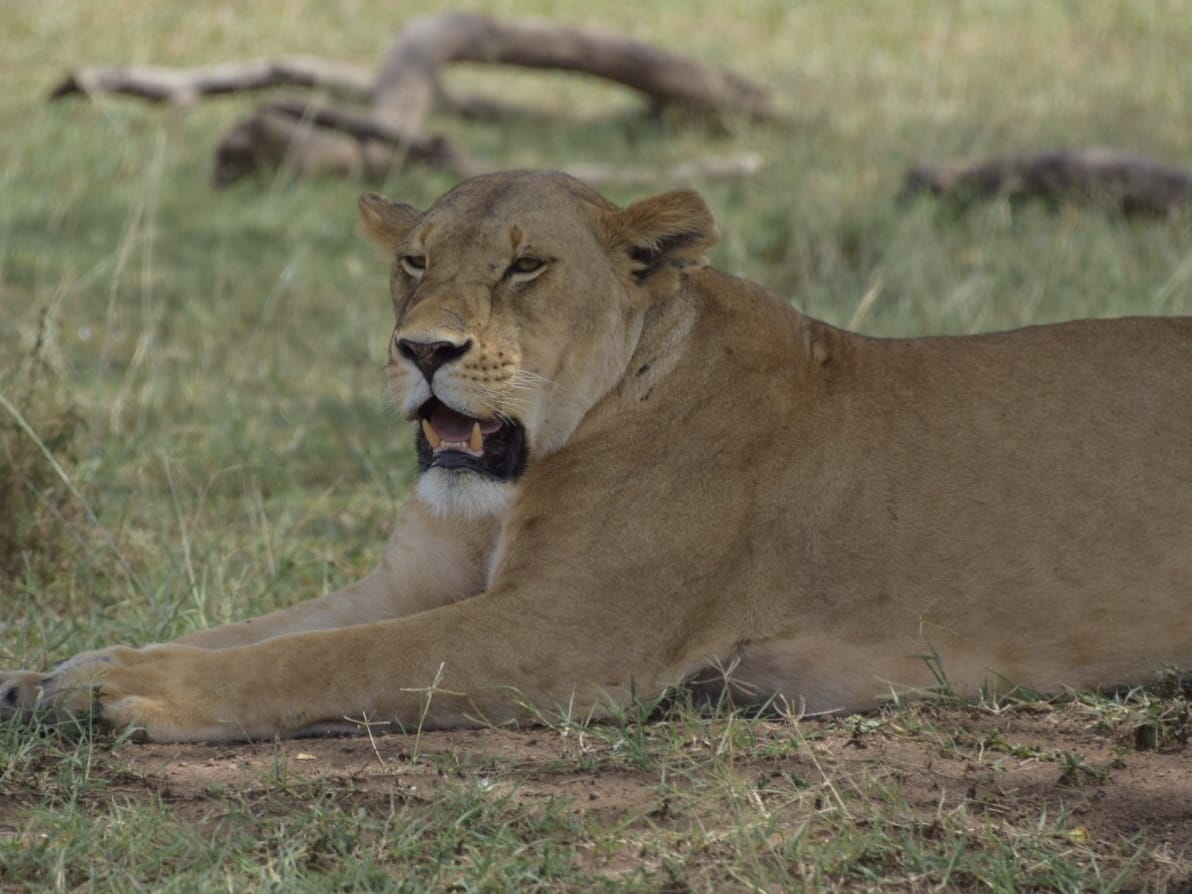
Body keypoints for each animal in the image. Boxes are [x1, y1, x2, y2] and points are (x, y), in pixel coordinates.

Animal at [2, 170, 1190, 742]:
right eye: (414, 262)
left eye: (524, 266)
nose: (421, 349)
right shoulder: (409, 584)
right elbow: (262, 633)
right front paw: (60, 672)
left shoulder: (569, 636)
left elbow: (323, 662)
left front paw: (129, 694)